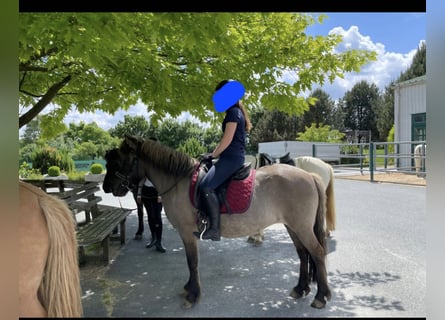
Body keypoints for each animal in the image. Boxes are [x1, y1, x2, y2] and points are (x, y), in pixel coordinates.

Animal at [100, 136, 330, 310]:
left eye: (119, 161)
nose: (106, 187)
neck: (179, 182)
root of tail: (309, 175)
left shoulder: (187, 233)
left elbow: (192, 262)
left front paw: (193, 295)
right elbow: (190, 262)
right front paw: (189, 288)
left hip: (301, 227)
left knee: (317, 253)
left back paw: (321, 296)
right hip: (293, 227)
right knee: (303, 253)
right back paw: (300, 289)